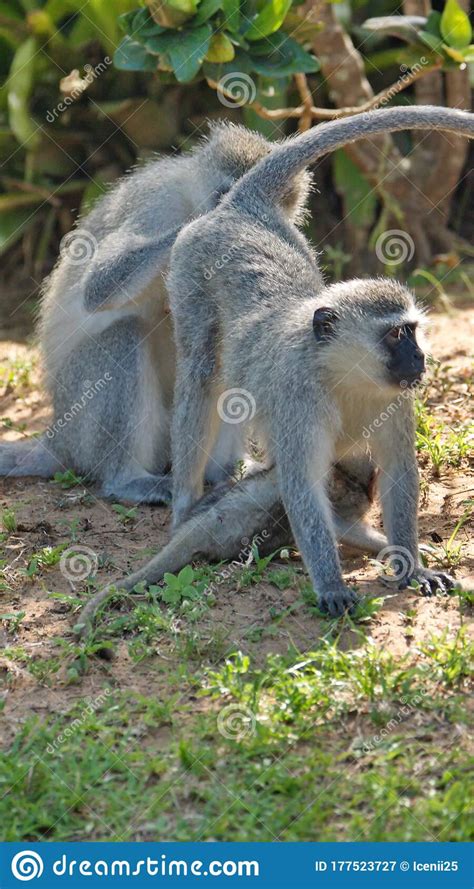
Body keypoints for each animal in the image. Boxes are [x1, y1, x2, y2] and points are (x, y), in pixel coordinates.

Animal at [0, 121, 312, 502]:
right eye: (226, 194)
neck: (191, 199)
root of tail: (57, 440)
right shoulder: (156, 204)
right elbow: (97, 287)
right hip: (79, 416)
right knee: (123, 335)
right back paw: (128, 479)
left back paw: (221, 472)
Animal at [168, 104, 470, 612]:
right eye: (396, 335)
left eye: (411, 331)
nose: (419, 359)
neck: (344, 376)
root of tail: (237, 208)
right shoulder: (297, 399)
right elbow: (304, 485)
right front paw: (331, 585)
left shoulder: (396, 400)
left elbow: (398, 473)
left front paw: (411, 569)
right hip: (188, 272)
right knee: (201, 373)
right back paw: (185, 505)